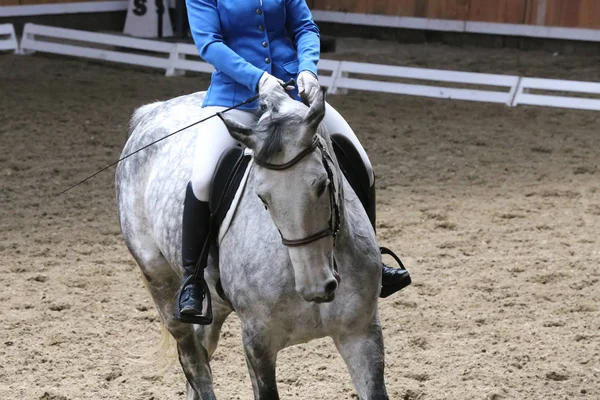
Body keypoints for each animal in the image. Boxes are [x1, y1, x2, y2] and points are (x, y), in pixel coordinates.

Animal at [116, 86, 390, 398]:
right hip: (158, 278)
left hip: (214, 299)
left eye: (322, 184)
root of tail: (154, 110)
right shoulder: (258, 342)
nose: (316, 287)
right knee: (193, 361)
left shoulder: (361, 332)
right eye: (262, 197)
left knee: (202, 346)